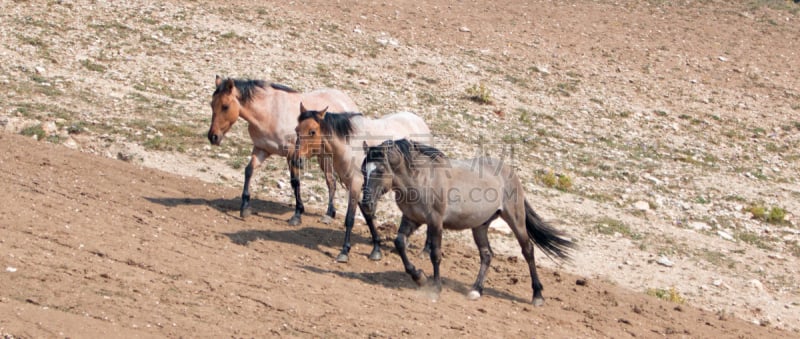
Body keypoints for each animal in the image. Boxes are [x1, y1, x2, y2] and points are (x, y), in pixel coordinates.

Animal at [208, 76, 358, 226]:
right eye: (212, 104)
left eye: (225, 106)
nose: (212, 137)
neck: (269, 112)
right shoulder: (261, 149)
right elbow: (249, 170)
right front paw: (245, 207)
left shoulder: (292, 154)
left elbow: (295, 181)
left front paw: (297, 215)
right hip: (323, 156)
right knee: (331, 181)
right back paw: (329, 214)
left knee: (333, 181)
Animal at [294, 105, 432, 262]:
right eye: (297, 130)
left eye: (312, 131)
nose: (297, 160)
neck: (349, 145)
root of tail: (420, 122)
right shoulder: (357, 188)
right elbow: (368, 216)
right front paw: (376, 249)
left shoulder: (355, 184)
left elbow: (350, 218)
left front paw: (344, 251)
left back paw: (426, 250)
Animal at [360, 138, 572, 306]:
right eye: (363, 170)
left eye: (380, 170)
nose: (366, 204)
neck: (421, 179)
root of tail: (509, 172)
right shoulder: (411, 219)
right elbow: (400, 243)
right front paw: (419, 277)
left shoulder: (435, 222)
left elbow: (435, 254)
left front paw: (435, 287)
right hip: (480, 226)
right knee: (487, 255)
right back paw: (476, 290)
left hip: (516, 219)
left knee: (528, 251)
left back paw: (537, 296)